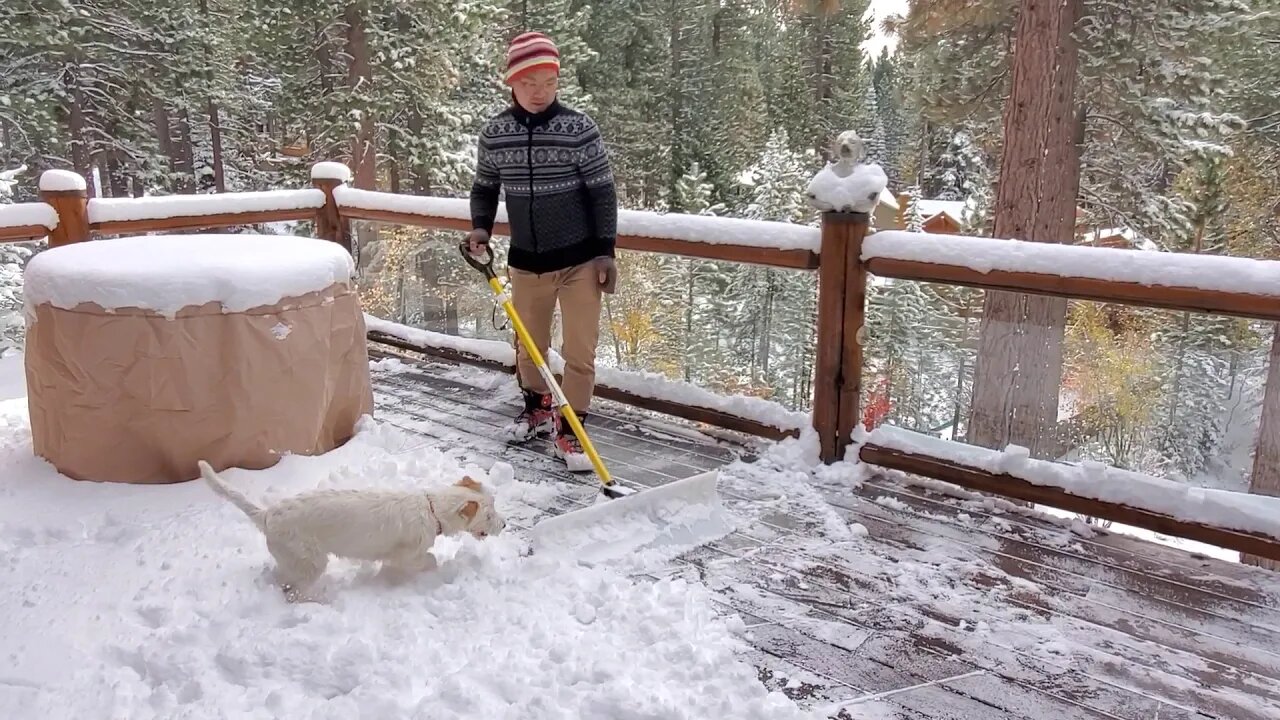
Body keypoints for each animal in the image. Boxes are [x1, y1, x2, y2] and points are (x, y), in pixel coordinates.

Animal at [194, 458, 504, 599]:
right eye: (489, 515)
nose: (504, 524)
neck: (431, 509)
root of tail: (268, 515)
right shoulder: (406, 555)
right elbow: (427, 559)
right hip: (311, 561)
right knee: (294, 591)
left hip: (294, 560)